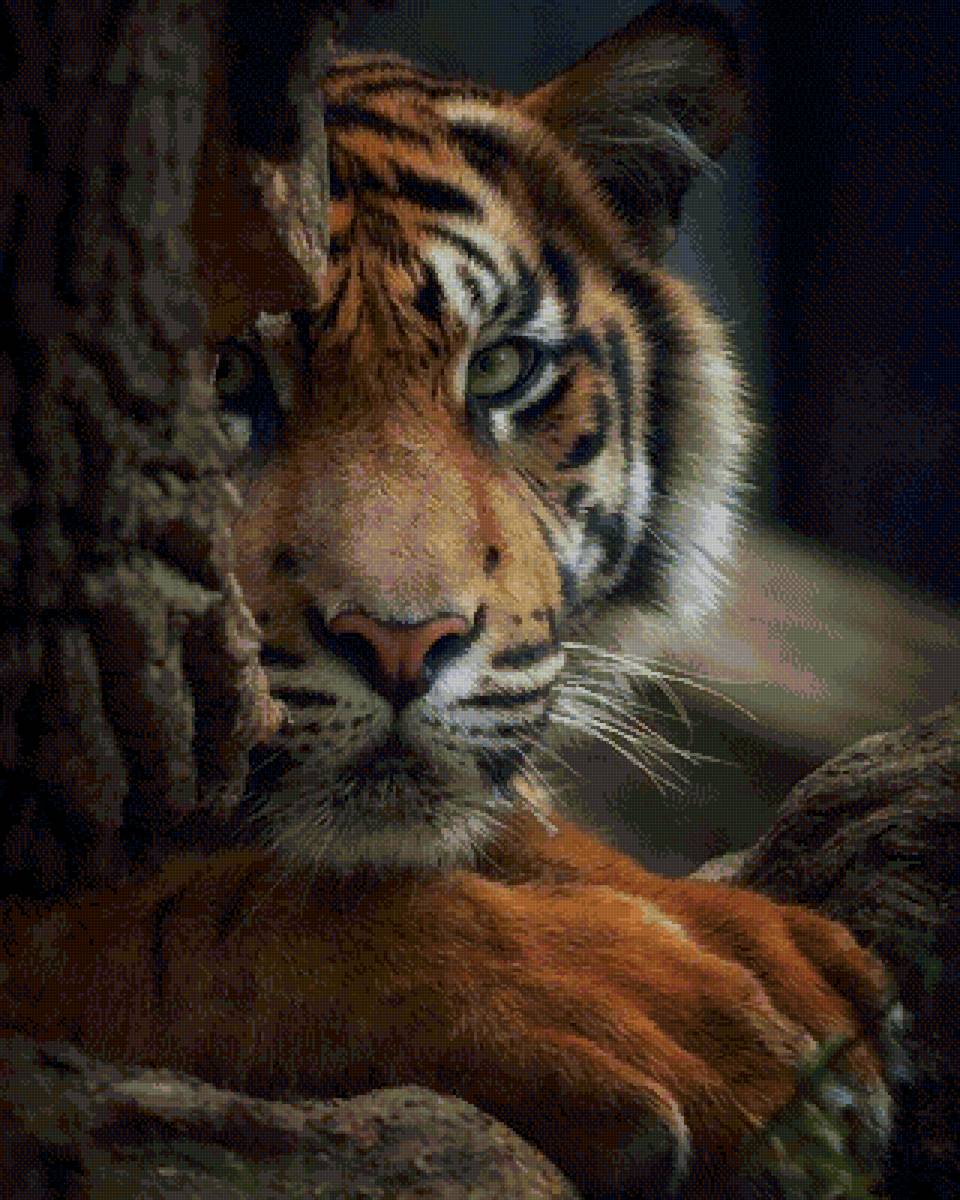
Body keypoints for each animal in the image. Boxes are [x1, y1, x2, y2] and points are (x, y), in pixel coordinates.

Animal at [0, 4, 904, 1197]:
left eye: (500, 369)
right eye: (226, 374)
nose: (403, 643)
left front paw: (767, 965)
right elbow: (217, 912)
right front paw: (669, 1018)